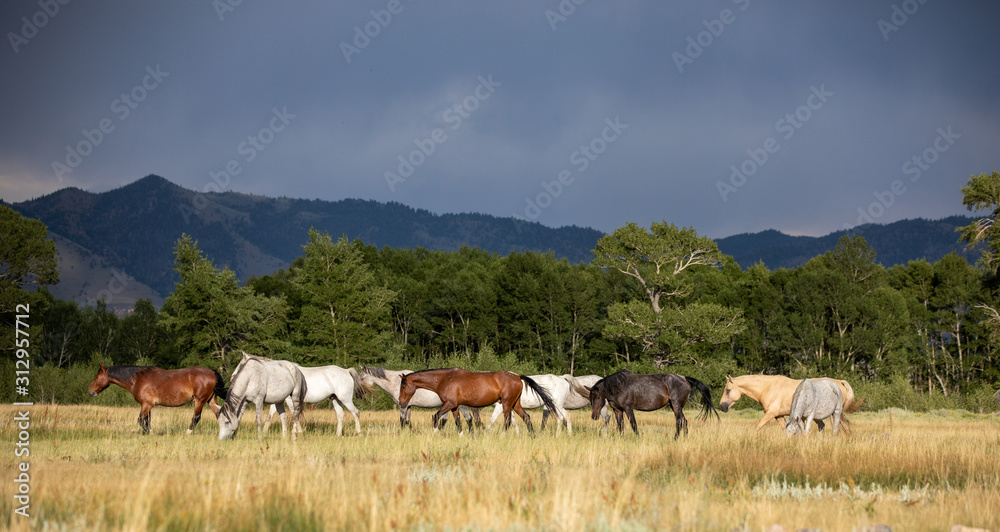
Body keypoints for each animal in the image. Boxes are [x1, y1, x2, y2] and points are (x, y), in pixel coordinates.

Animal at [88, 364, 227, 434]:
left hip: (200, 400)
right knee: (219, 413)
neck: (138, 380)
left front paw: (151, 432)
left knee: (196, 417)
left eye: (96, 376)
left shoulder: (146, 405)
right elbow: (147, 420)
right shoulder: (147, 405)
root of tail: (212, 372)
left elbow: (141, 420)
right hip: (210, 400)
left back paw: (187, 432)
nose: (90, 392)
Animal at [243, 353, 373, 436]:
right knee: (341, 415)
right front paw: (264, 432)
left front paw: (297, 432)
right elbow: (270, 416)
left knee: (356, 412)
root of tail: (346, 371)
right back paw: (337, 435)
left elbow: (294, 413)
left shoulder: (290, 400)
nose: (234, 377)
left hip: (345, 399)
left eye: (243, 366)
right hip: (336, 399)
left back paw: (359, 432)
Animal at [398, 368, 556, 434]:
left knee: (507, 421)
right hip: (515, 404)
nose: (401, 403)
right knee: (526, 417)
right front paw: (462, 436)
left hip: (506, 404)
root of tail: (518, 377)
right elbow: (458, 422)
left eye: (403, 386)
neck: (444, 379)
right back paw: (532, 436)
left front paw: (435, 432)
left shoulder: (449, 404)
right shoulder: (454, 406)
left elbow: (436, 416)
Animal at [587, 370, 718, 439]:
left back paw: (675, 439)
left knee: (679, 421)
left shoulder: (628, 409)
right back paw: (684, 439)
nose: (594, 416)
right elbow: (620, 426)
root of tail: (685, 378)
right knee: (684, 421)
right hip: (675, 406)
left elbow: (633, 424)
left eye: (598, 397)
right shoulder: (617, 410)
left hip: (676, 406)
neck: (618, 386)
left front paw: (637, 439)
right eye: (590, 399)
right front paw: (621, 439)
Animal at [718, 374, 859, 434]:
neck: (768, 387)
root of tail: (839, 382)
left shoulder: (770, 414)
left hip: (834, 414)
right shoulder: (778, 416)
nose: (721, 407)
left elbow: (757, 426)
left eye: (728, 390)